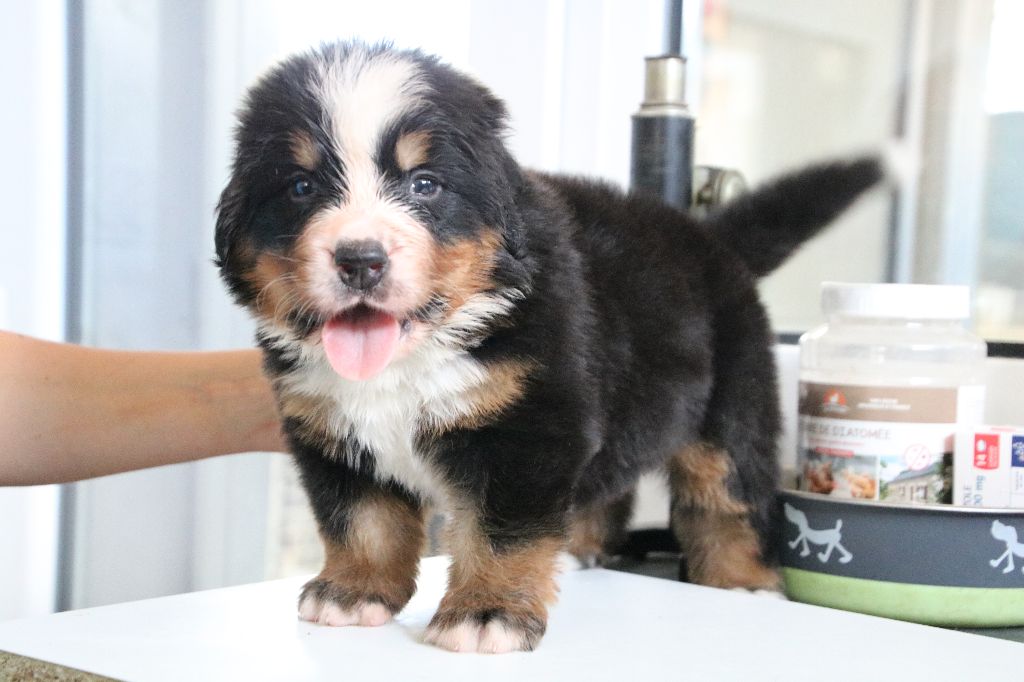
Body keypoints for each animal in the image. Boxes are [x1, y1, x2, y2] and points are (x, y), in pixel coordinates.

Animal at [214, 39, 880, 651]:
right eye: (301, 187)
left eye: (425, 184)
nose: (359, 259)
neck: (412, 358)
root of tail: (707, 236)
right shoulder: (331, 428)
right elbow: (361, 520)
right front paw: (354, 594)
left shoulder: (531, 427)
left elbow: (502, 532)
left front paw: (486, 613)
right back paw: (577, 551)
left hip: (731, 406)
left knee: (731, 497)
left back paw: (744, 581)